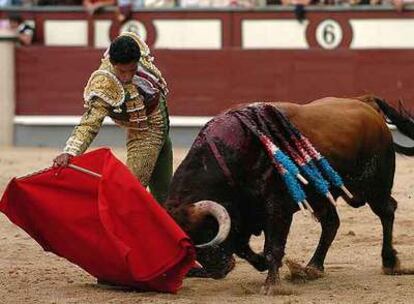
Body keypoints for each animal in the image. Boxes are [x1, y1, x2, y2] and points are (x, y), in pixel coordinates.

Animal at [163, 95, 412, 294]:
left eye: (207, 231)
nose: (215, 270)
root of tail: (365, 104)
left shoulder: (276, 208)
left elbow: (272, 246)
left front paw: (271, 285)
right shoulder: (244, 215)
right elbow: (245, 248)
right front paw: (264, 264)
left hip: (374, 187)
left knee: (386, 211)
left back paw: (390, 262)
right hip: (320, 196)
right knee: (331, 223)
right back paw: (313, 267)